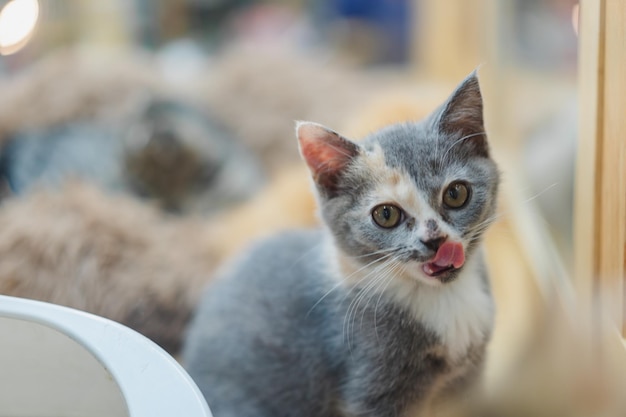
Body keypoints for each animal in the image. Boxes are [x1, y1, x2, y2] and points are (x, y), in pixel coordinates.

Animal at [180, 72, 498, 416]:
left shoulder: (468, 382)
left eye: (455, 194)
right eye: (386, 214)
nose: (435, 239)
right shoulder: (370, 383)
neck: (444, 297)